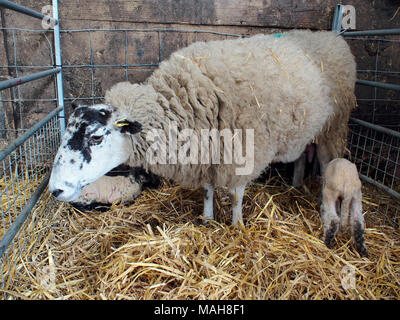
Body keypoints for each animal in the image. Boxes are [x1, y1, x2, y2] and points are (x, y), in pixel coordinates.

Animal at [49, 29, 356, 225]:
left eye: (96, 137)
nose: (54, 190)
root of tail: (332, 35)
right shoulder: (206, 150)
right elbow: (208, 189)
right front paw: (208, 219)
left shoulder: (242, 151)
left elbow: (235, 194)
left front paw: (236, 225)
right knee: (304, 153)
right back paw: (296, 184)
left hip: (335, 124)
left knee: (328, 162)